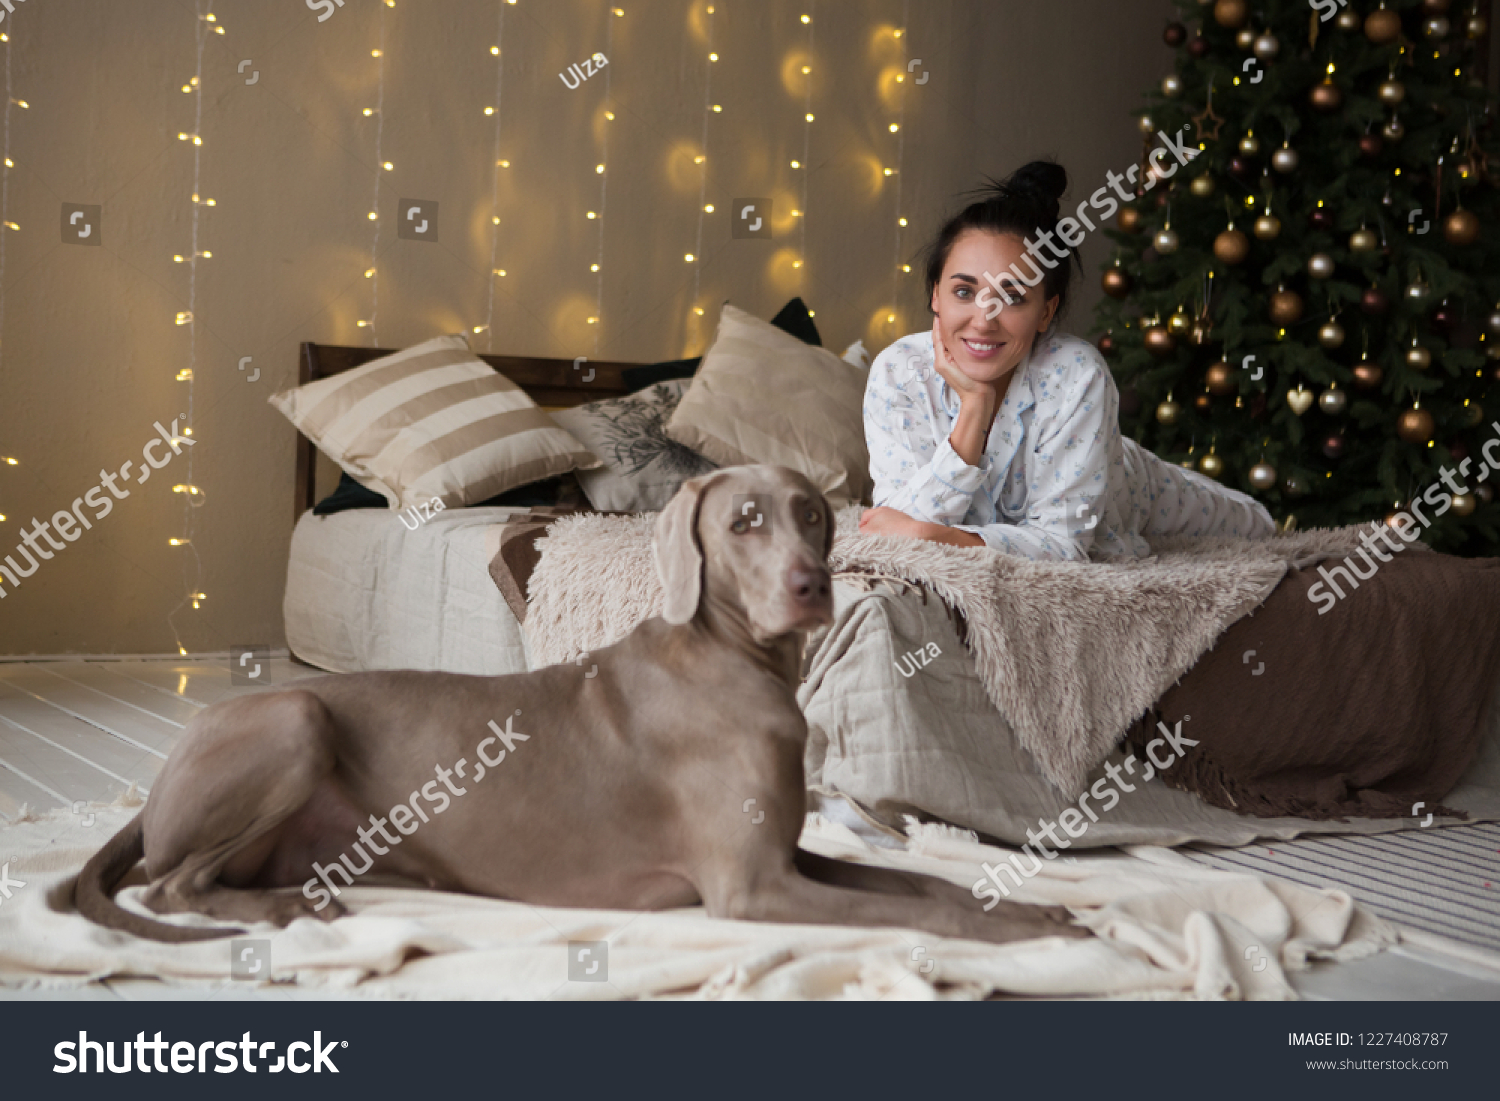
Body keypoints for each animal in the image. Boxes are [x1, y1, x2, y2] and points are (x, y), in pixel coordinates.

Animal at [76, 465, 1086, 948]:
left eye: (811, 513)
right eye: (744, 521)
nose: (811, 587)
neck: (728, 654)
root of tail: (160, 779)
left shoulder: (790, 856)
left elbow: (926, 885)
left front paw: (1040, 912)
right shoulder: (750, 888)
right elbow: (933, 915)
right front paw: (1012, 929)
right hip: (293, 720)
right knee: (166, 884)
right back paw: (286, 910)